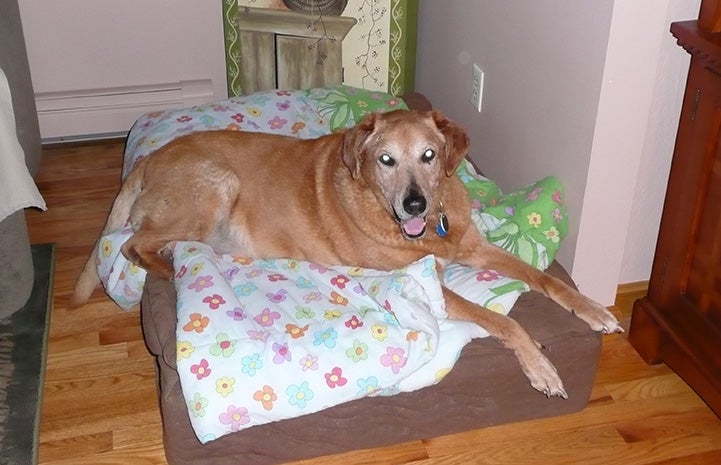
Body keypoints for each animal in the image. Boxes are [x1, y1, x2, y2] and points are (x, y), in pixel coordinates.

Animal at [73, 109, 620, 396]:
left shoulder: (476, 247)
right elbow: (502, 320)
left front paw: (592, 308)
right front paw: (541, 367)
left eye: (429, 156)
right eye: (386, 160)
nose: (415, 203)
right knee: (133, 244)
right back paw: (169, 268)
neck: (431, 229)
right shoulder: (432, 283)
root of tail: (145, 160)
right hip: (217, 184)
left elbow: (545, 278)